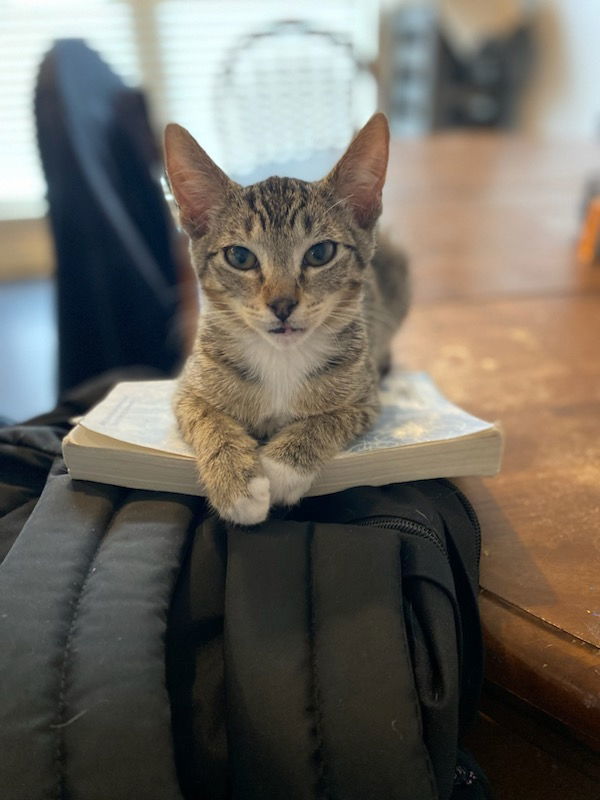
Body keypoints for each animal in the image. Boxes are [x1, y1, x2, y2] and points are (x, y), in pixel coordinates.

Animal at [164, 112, 408, 524]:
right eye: (240, 257)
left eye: (320, 253)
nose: (282, 304)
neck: (280, 358)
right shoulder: (188, 388)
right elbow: (206, 419)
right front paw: (237, 484)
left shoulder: (366, 396)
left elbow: (329, 418)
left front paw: (281, 469)